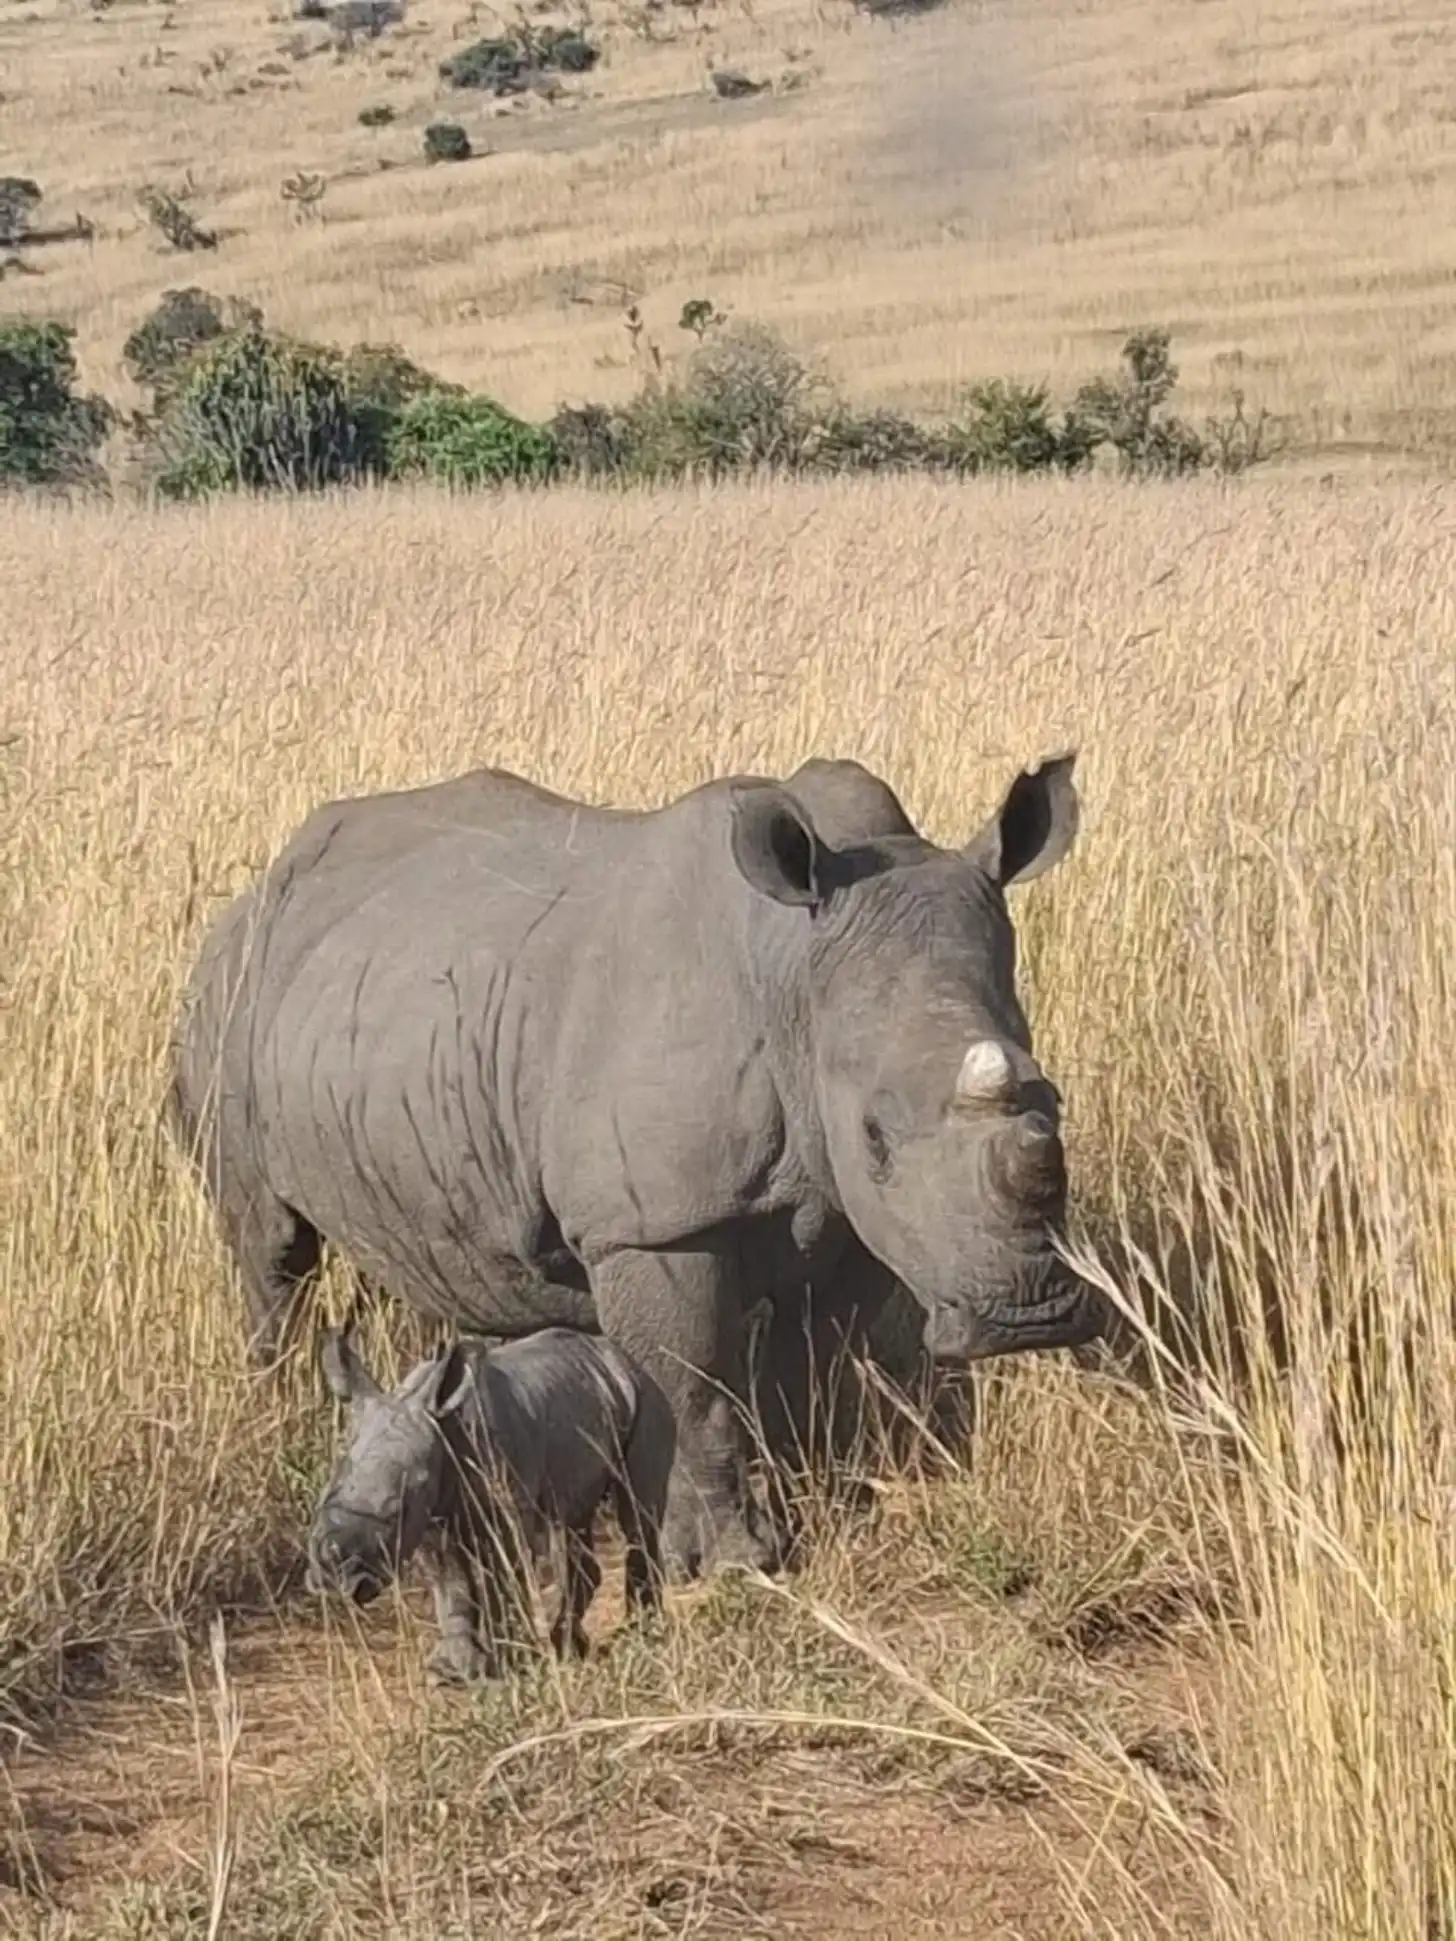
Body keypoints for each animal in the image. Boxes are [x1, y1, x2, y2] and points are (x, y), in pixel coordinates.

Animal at [168, 751, 1101, 1581]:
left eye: (1054, 1100)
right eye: (874, 1133)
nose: (1029, 1315)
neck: (794, 977)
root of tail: (249, 896)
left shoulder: (853, 1215)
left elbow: (812, 1365)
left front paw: (818, 1506)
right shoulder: (649, 1223)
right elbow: (692, 1381)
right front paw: (729, 1565)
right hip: (227, 999)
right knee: (270, 1247)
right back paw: (279, 1418)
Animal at [307, 1325, 674, 1681]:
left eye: (396, 1511)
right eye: (327, 1493)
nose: (334, 1579)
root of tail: (624, 1360)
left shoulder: (497, 1510)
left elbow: (501, 1581)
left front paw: (509, 1664)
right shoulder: (430, 1519)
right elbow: (450, 1584)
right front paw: (450, 1671)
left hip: (648, 1398)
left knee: (636, 1516)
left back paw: (642, 1636)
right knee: (570, 1520)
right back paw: (571, 1646)